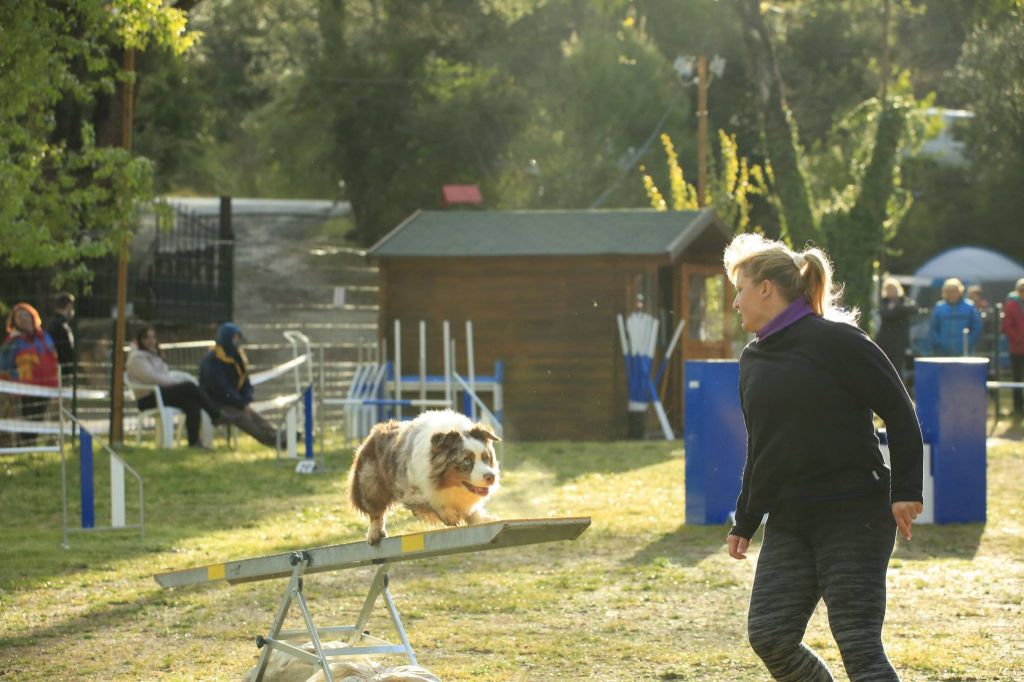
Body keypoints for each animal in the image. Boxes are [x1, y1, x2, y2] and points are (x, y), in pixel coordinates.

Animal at [348, 409, 499, 540]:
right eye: (467, 461)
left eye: (486, 458)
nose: (491, 477)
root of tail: (376, 430)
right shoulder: (410, 491)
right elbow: (430, 502)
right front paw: (450, 515)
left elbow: (472, 512)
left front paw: (483, 519)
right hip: (369, 483)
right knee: (375, 511)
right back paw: (374, 534)